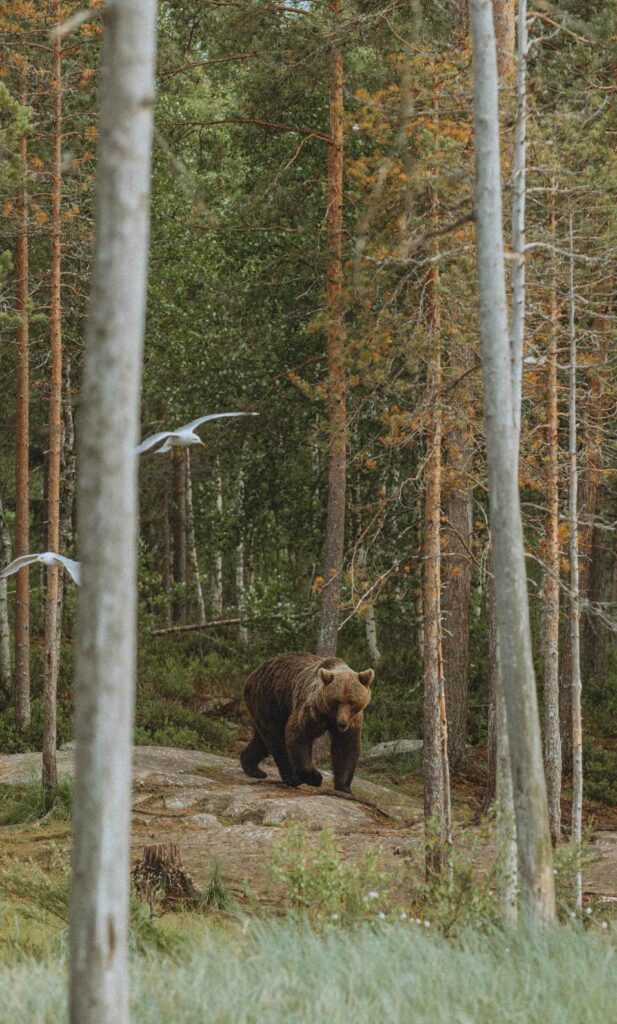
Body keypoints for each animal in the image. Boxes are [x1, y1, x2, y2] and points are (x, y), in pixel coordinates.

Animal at [239, 651, 374, 794]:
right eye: (337, 701)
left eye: (351, 702)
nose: (342, 723)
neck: (329, 715)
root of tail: (253, 673)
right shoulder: (312, 709)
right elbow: (299, 734)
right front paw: (315, 778)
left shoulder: (352, 720)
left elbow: (346, 746)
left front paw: (344, 787)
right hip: (269, 699)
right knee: (276, 738)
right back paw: (292, 778)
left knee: (262, 740)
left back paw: (252, 767)